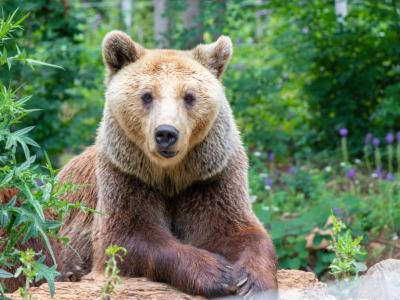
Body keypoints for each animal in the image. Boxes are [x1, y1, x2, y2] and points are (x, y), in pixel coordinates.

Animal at [2, 30, 278, 298]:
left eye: (189, 96)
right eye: (147, 95)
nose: (166, 133)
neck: (170, 175)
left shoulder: (210, 177)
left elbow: (235, 229)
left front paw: (250, 281)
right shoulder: (127, 176)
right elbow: (127, 237)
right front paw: (216, 272)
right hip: (43, 209)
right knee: (22, 218)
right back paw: (68, 270)